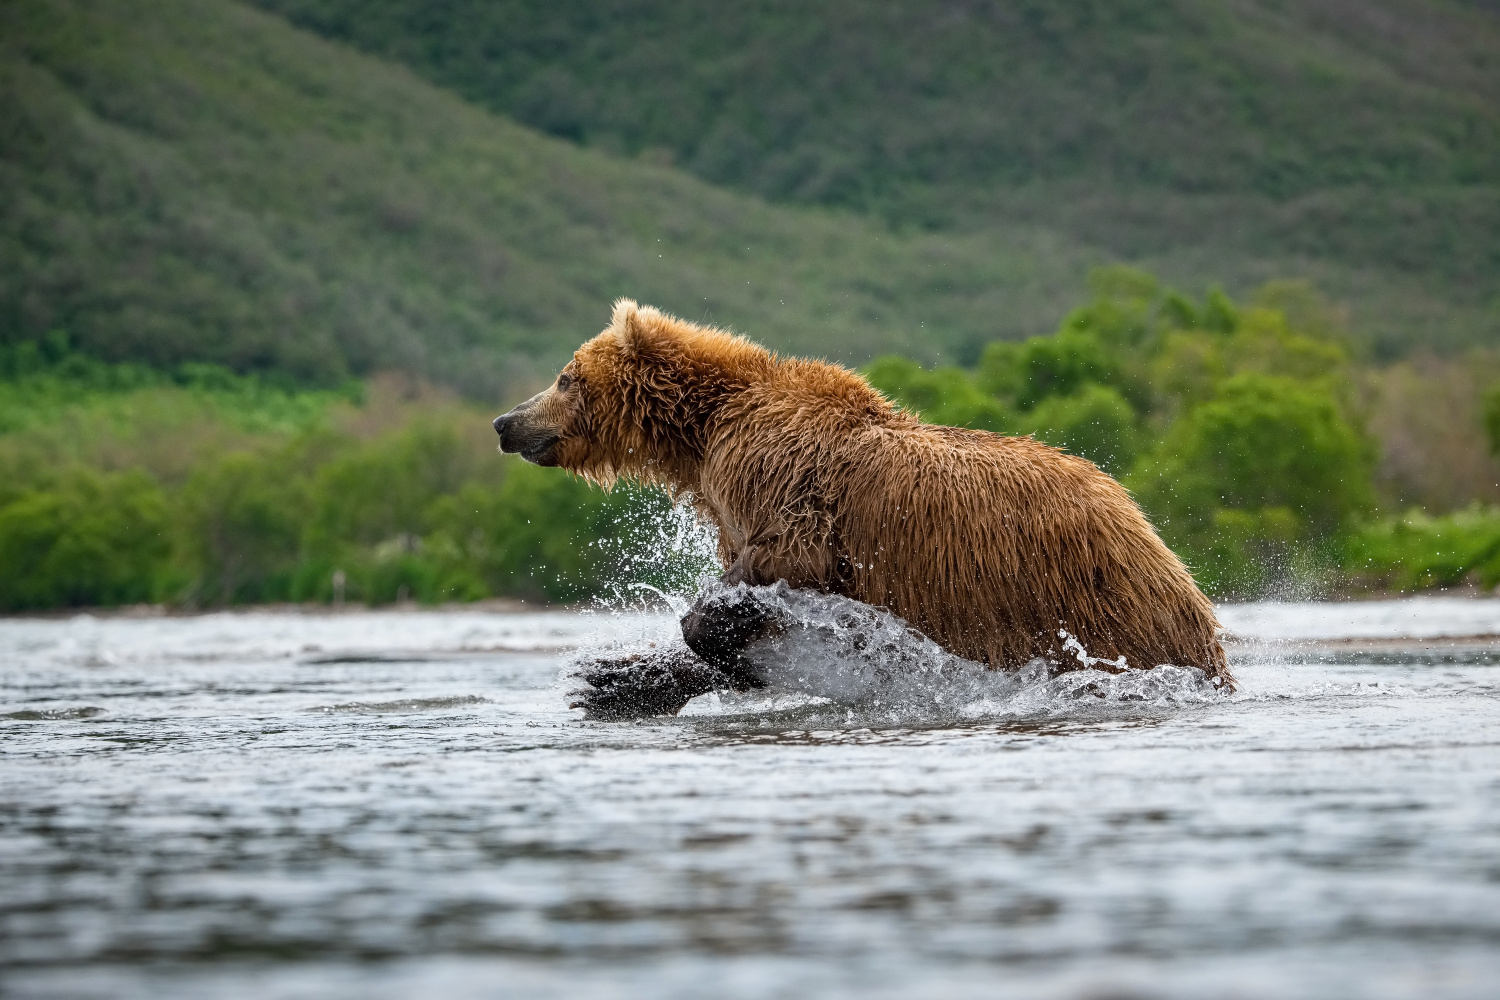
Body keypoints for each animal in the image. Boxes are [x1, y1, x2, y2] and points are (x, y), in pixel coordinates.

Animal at [492, 296, 1230, 710]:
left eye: (565, 377)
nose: (506, 422)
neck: (704, 433)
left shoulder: (785, 481)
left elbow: (778, 563)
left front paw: (714, 639)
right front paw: (615, 678)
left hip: (1080, 596)